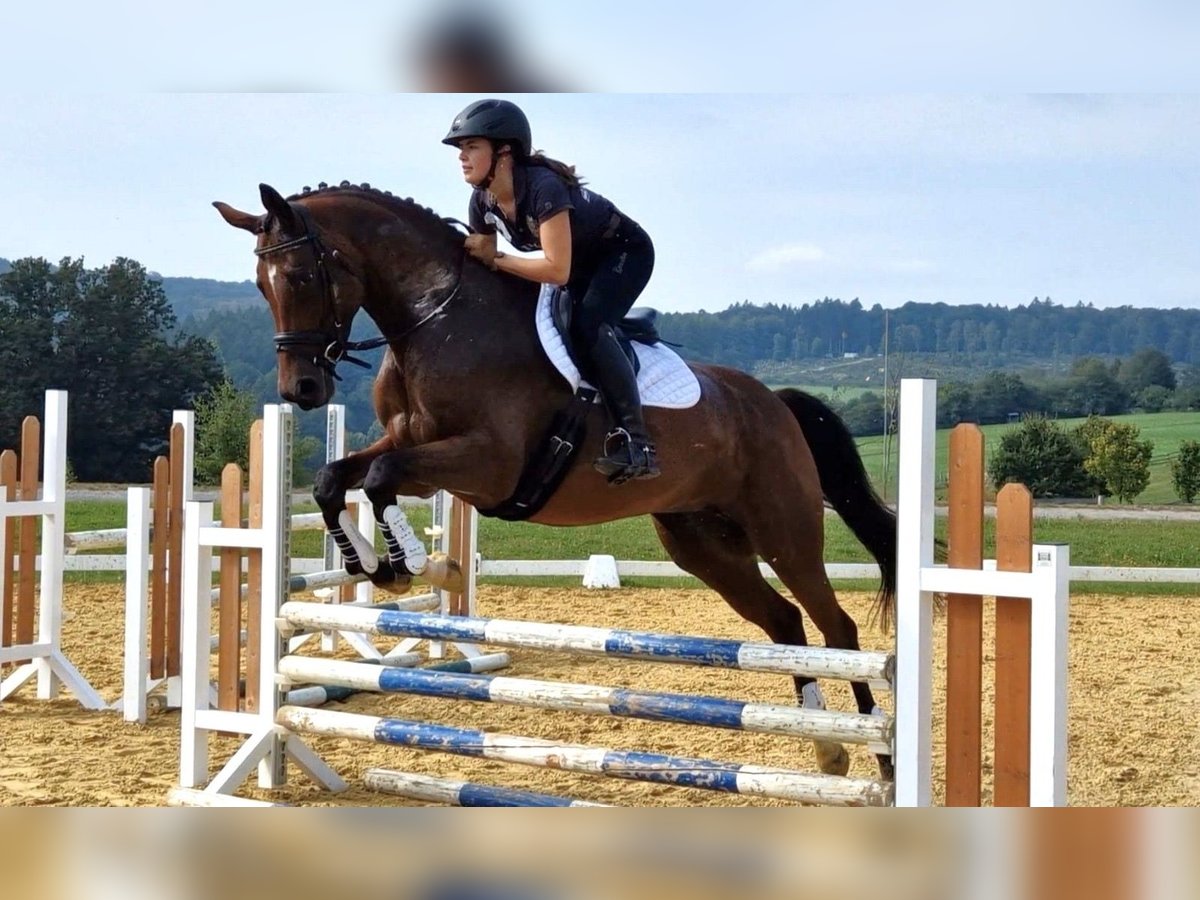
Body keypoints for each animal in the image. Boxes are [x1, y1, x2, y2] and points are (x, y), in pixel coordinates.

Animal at [213, 183, 902, 782]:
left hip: (783, 530)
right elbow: (335, 479)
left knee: (837, 629)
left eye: (301, 277)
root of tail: (775, 402)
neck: (437, 319)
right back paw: (827, 750)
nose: (301, 390)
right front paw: (371, 564)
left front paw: (415, 564)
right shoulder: (412, 451)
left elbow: (380, 480)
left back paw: (881, 756)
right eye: (261, 285)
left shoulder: (487, 464)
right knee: (784, 623)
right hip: (702, 543)